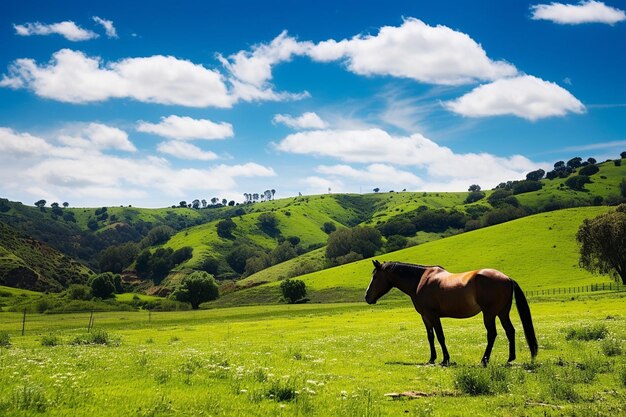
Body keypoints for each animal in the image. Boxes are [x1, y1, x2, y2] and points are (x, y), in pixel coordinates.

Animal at [360, 260, 536, 364]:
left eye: (375, 277)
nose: (367, 296)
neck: (420, 281)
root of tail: (507, 278)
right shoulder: (425, 317)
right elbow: (430, 337)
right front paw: (432, 359)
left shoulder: (433, 315)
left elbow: (440, 336)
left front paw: (445, 359)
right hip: (502, 312)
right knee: (510, 331)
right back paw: (510, 359)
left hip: (489, 314)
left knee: (492, 334)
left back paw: (484, 360)